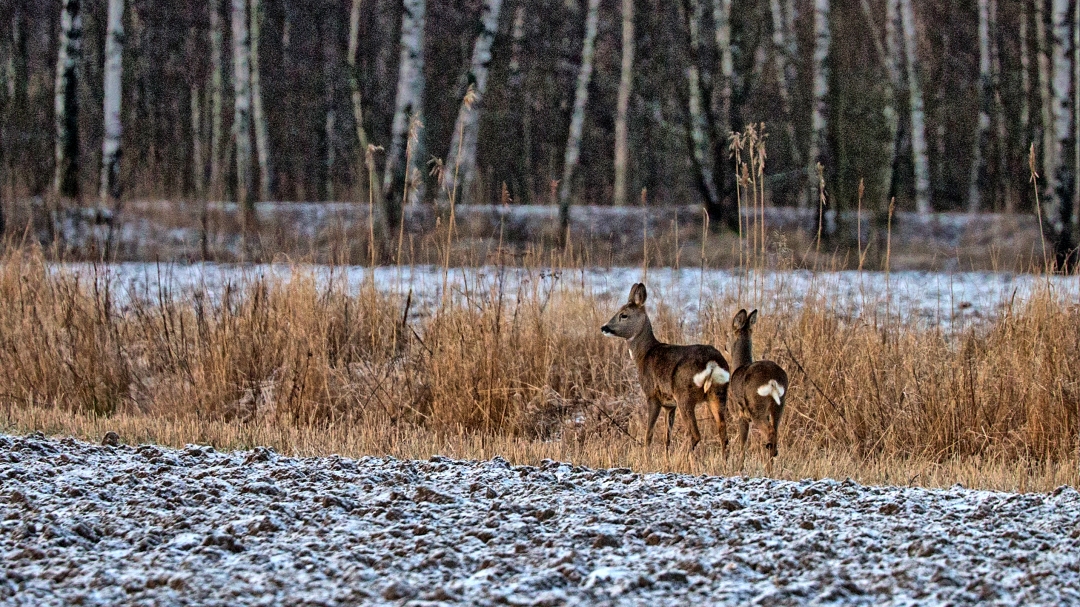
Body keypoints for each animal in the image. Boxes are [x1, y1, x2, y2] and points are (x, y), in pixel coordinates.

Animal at [600, 282, 734, 449]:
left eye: (623, 315)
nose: (604, 328)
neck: (644, 355)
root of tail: (712, 363)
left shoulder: (652, 394)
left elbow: (649, 434)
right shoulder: (670, 405)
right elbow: (667, 437)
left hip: (684, 395)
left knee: (695, 434)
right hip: (718, 393)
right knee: (723, 433)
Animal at [730, 306, 790, 462]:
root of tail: (772, 380)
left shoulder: (742, 412)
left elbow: (743, 444)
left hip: (756, 406)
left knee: (769, 432)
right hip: (779, 405)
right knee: (774, 433)